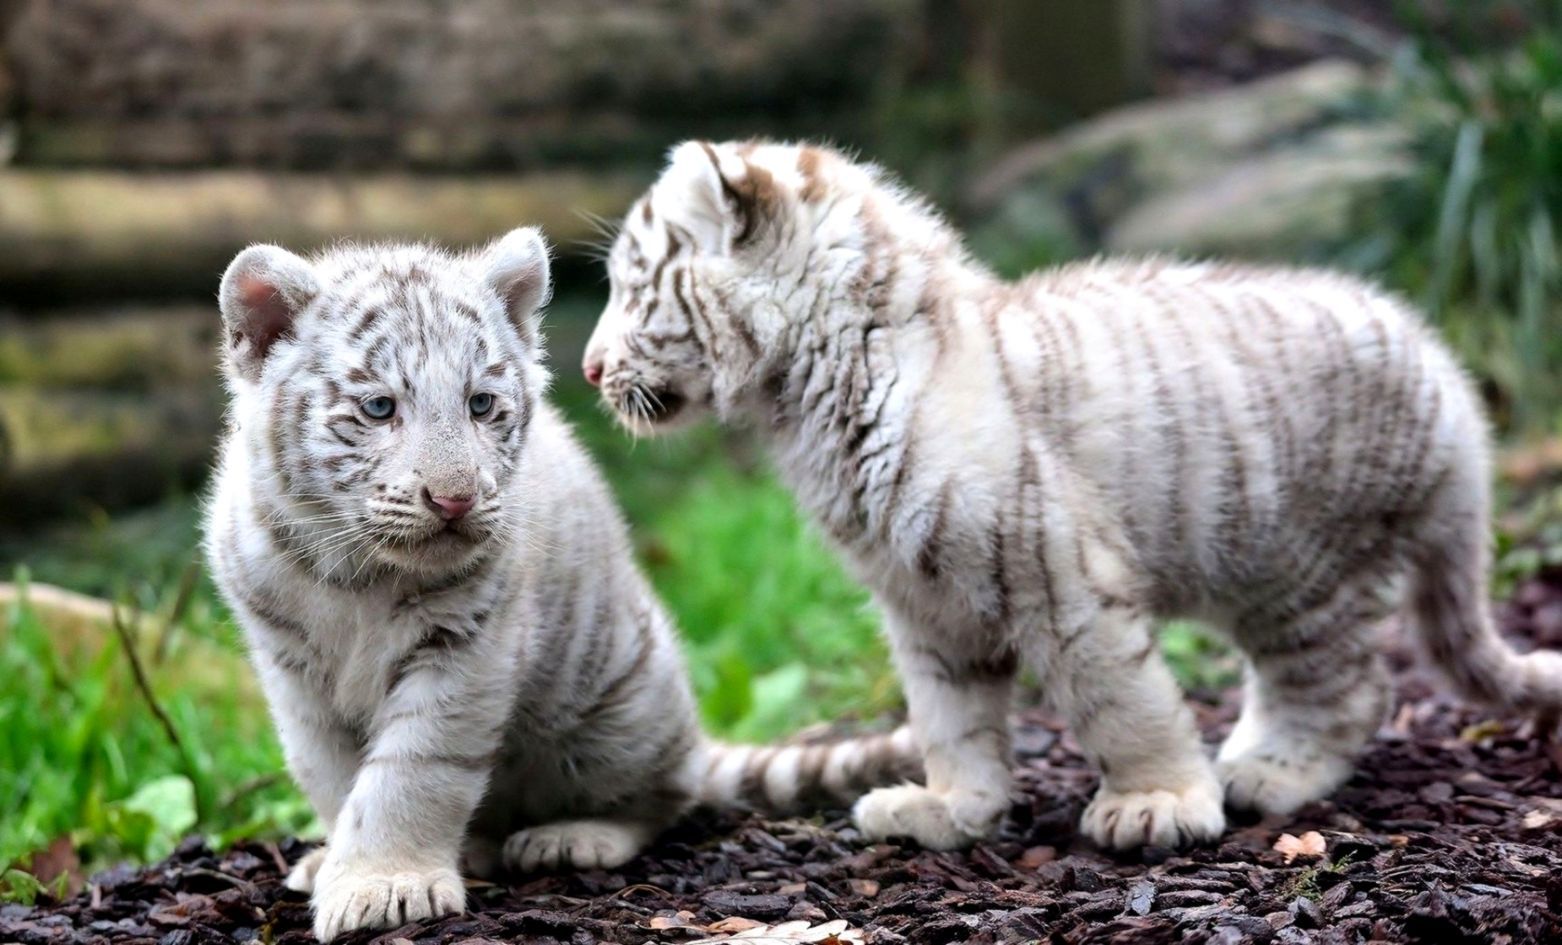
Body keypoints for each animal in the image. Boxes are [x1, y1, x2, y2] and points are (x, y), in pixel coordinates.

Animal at [203, 228, 918, 941]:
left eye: (481, 405)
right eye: (379, 408)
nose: (456, 500)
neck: (358, 572)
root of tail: (693, 740)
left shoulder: (466, 650)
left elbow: (413, 773)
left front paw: (385, 885)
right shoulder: (293, 670)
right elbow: (330, 773)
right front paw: (343, 866)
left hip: (626, 714)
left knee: (663, 798)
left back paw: (571, 838)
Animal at [580, 140, 1562, 853]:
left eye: (632, 288)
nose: (587, 368)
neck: (810, 398)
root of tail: (1445, 373)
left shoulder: (1061, 575)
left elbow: (1119, 701)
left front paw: (1158, 804)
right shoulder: (924, 605)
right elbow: (950, 719)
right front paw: (951, 811)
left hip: (1304, 572)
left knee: (1350, 687)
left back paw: (1268, 772)